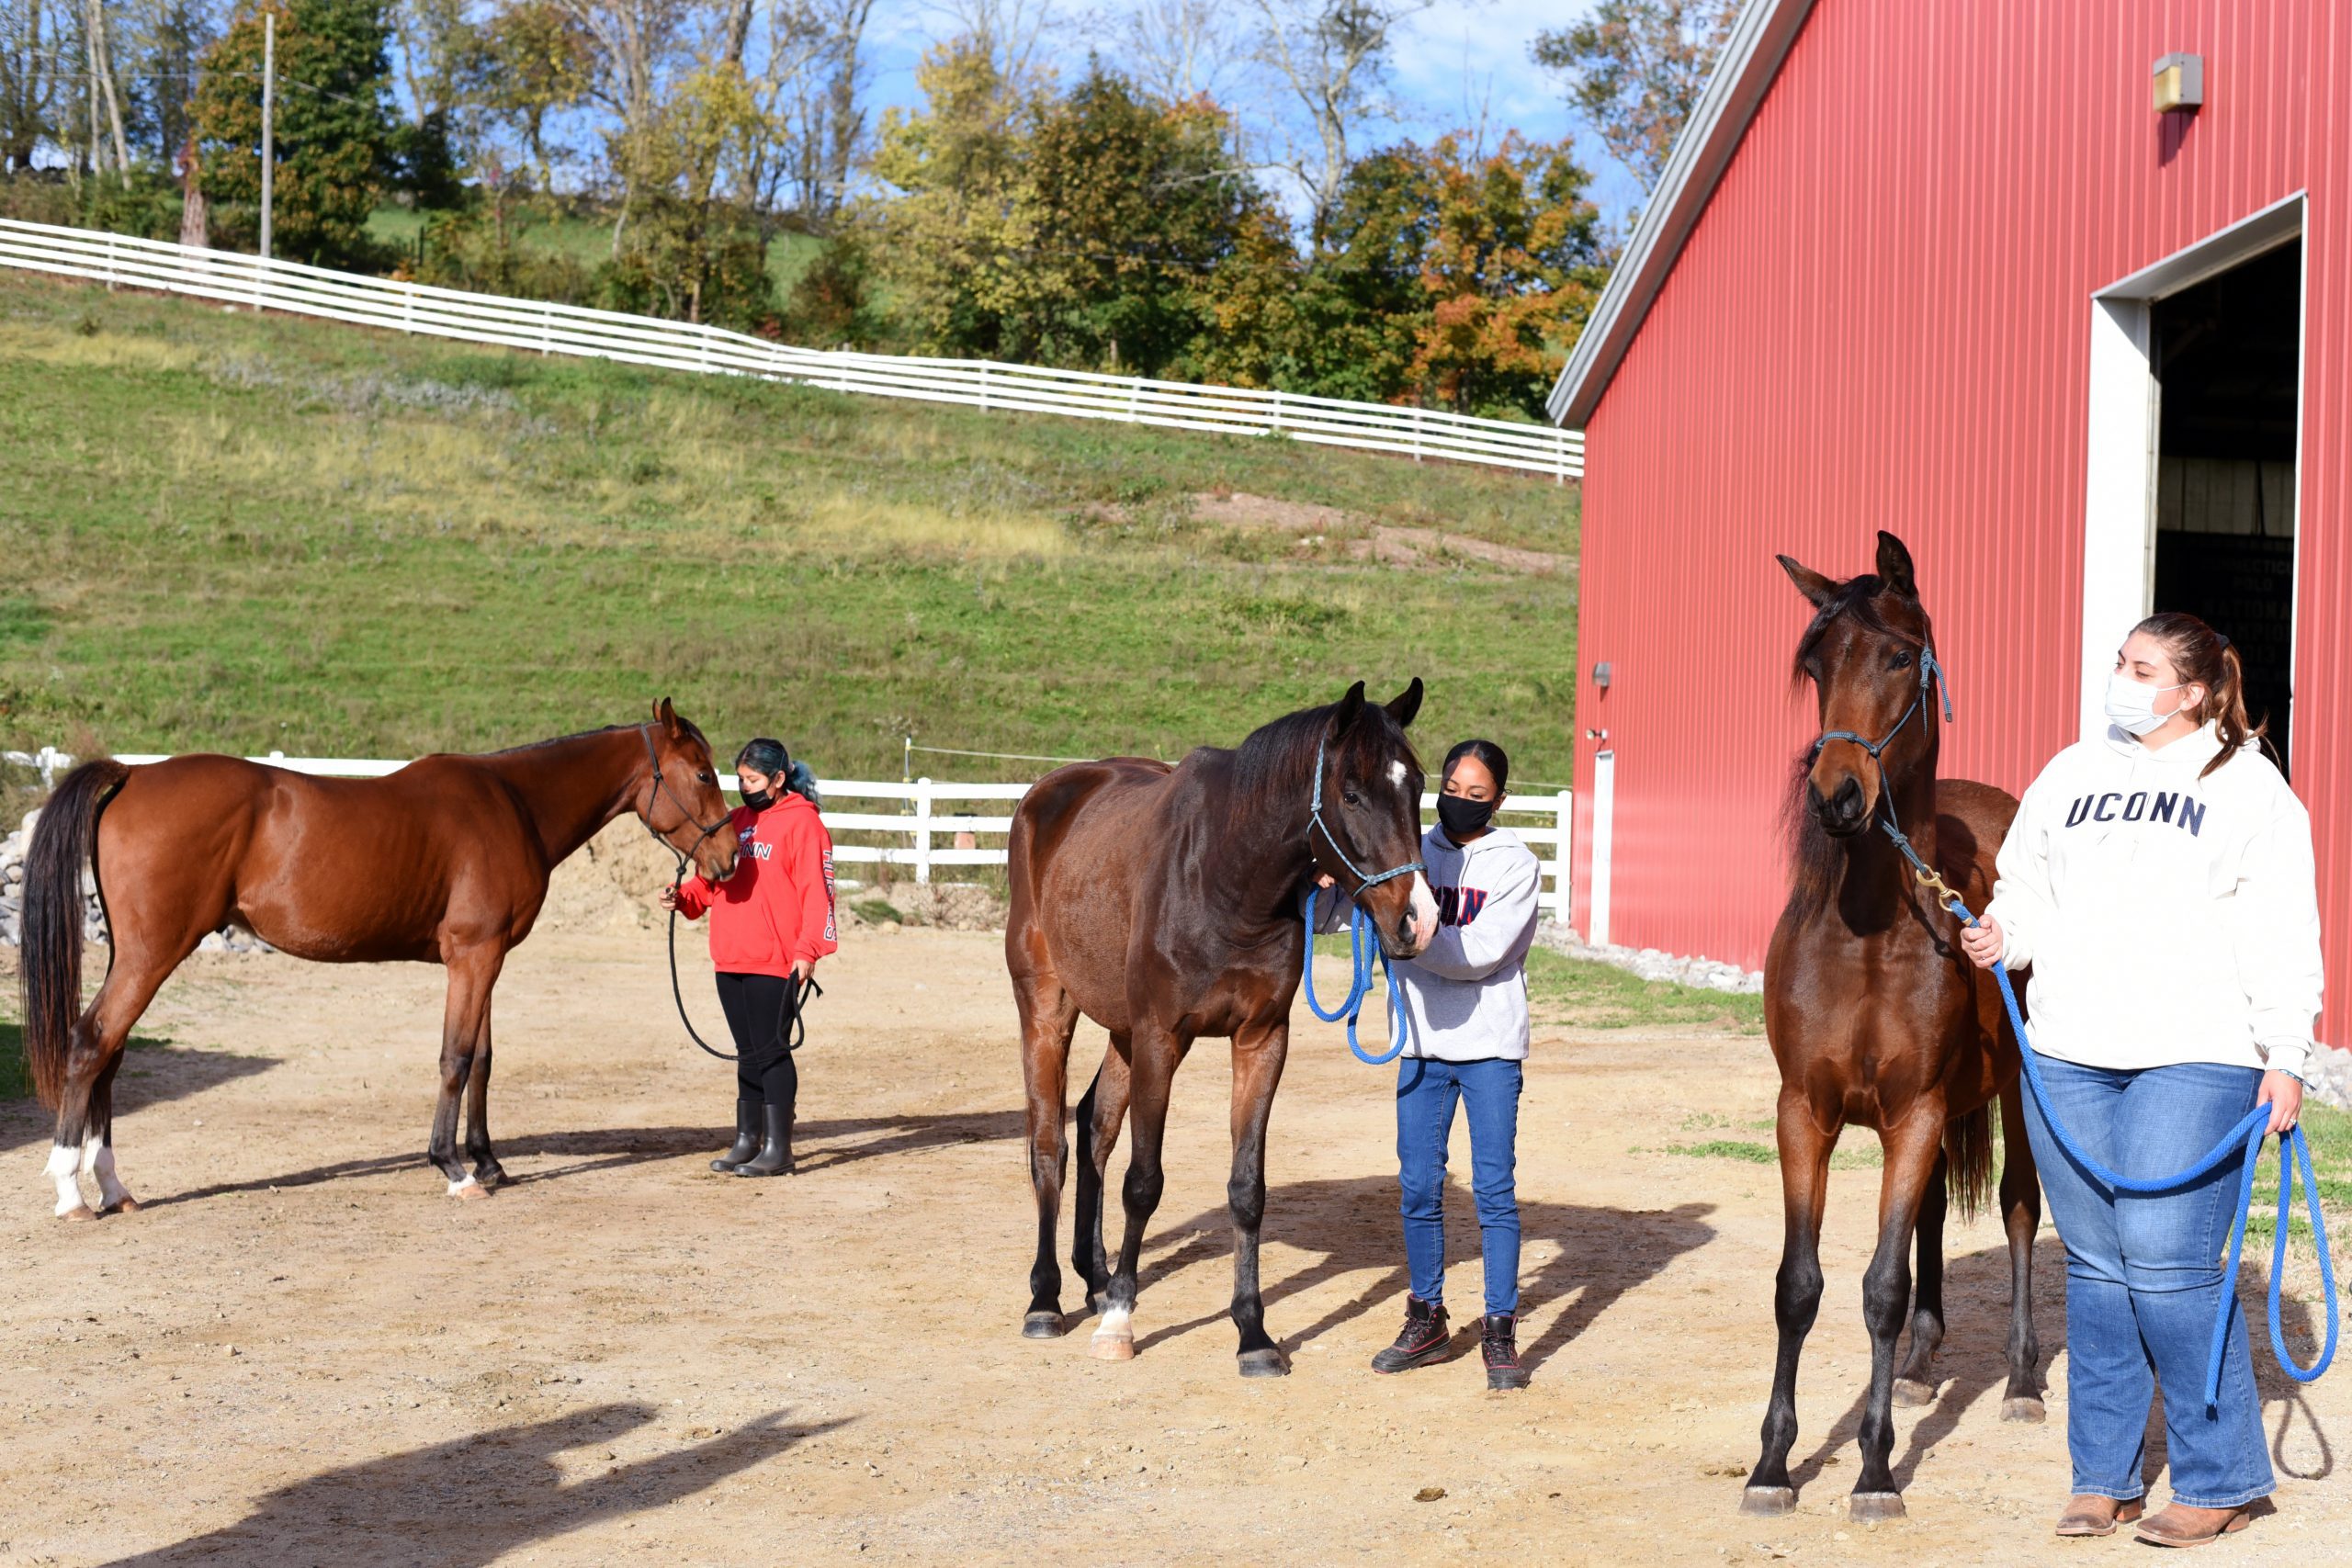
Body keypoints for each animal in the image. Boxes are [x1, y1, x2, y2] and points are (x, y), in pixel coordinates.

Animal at [20, 698, 739, 1220]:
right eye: (703, 773)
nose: (728, 858)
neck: (513, 802)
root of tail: (134, 773)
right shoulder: (472, 956)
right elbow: (455, 1059)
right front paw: (453, 1168)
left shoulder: (488, 958)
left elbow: (482, 1059)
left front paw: (489, 1163)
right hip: (152, 954)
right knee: (90, 1043)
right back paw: (71, 1193)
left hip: (135, 955)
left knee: (110, 1053)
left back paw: (114, 1189)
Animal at [1006, 680, 1439, 1375]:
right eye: (1351, 793)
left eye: (1418, 784)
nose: (1417, 920)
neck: (1226, 875)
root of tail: (1048, 792)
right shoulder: (1161, 1037)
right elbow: (1143, 1182)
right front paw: (1121, 1322)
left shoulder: (1260, 1040)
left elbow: (1246, 1189)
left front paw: (1253, 1333)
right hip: (1047, 1005)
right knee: (1050, 1145)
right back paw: (1047, 1299)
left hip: (1122, 1030)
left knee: (1095, 1125)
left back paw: (1094, 1277)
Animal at [1744, 532, 2044, 1521]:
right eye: (1815, 664)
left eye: (1901, 657)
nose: (1836, 795)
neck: (1871, 931)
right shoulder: (1805, 1113)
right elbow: (1798, 1286)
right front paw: (1772, 1464)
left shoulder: (1915, 1114)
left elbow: (1878, 1286)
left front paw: (1874, 1470)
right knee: (1932, 1223)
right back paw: (1916, 1368)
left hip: (2018, 1097)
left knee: (2019, 1208)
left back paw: (2021, 1382)